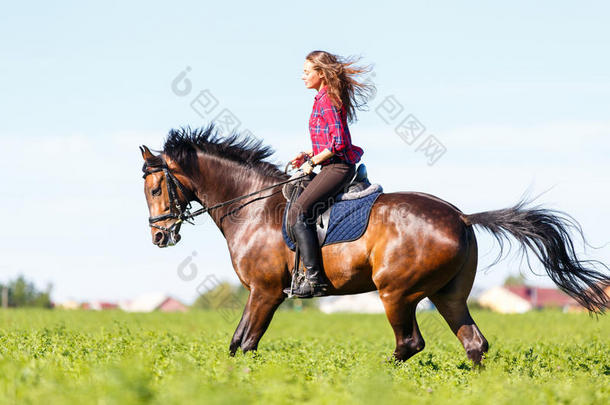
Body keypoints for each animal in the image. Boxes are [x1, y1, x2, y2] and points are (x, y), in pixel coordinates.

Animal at [139, 124, 608, 362]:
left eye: (156, 189)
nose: (160, 236)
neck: (252, 206)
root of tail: (459, 216)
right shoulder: (261, 293)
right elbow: (236, 344)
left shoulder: (266, 291)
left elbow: (246, 343)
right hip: (447, 294)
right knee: (474, 343)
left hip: (396, 292)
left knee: (409, 344)